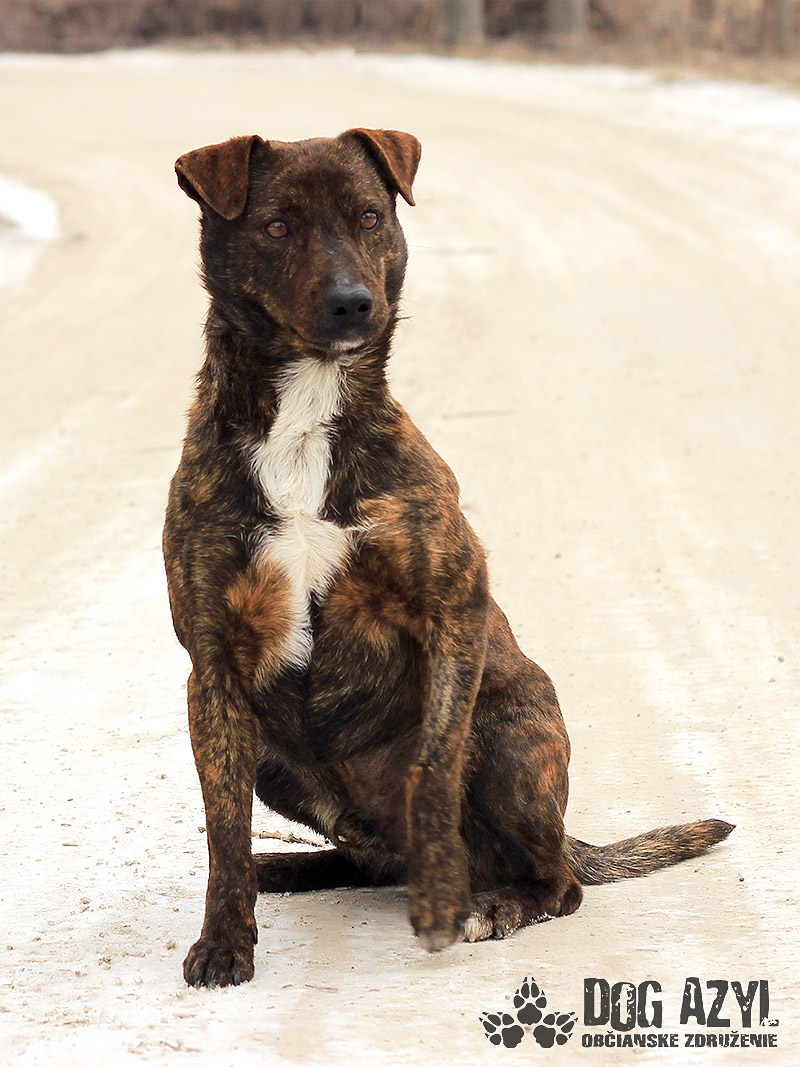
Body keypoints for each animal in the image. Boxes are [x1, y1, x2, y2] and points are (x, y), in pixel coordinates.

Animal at [163, 128, 733, 988]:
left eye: (369, 216)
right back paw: (289, 866)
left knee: (552, 880)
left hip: (509, 734)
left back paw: (491, 900)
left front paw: (439, 904)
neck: (305, 417)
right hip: (274, 761)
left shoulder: (452, 613)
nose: (353, 303)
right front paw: (226, 935)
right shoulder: (216, 664)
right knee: (365, 858)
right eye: (276, 226)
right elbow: (219, 828)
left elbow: (432, 769)